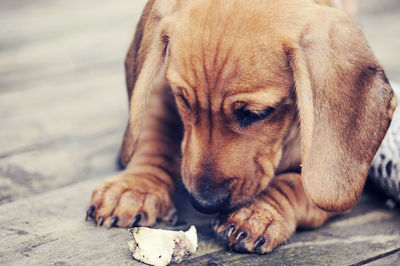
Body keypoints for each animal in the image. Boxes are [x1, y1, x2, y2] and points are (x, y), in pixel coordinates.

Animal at [86, 0, 396, 254]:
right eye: (182, 99)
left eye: (256, 113)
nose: (204, 204)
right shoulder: (162, 87)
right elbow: (153, 139)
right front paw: (135, 189)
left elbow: (298, 184)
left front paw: (258, 213)